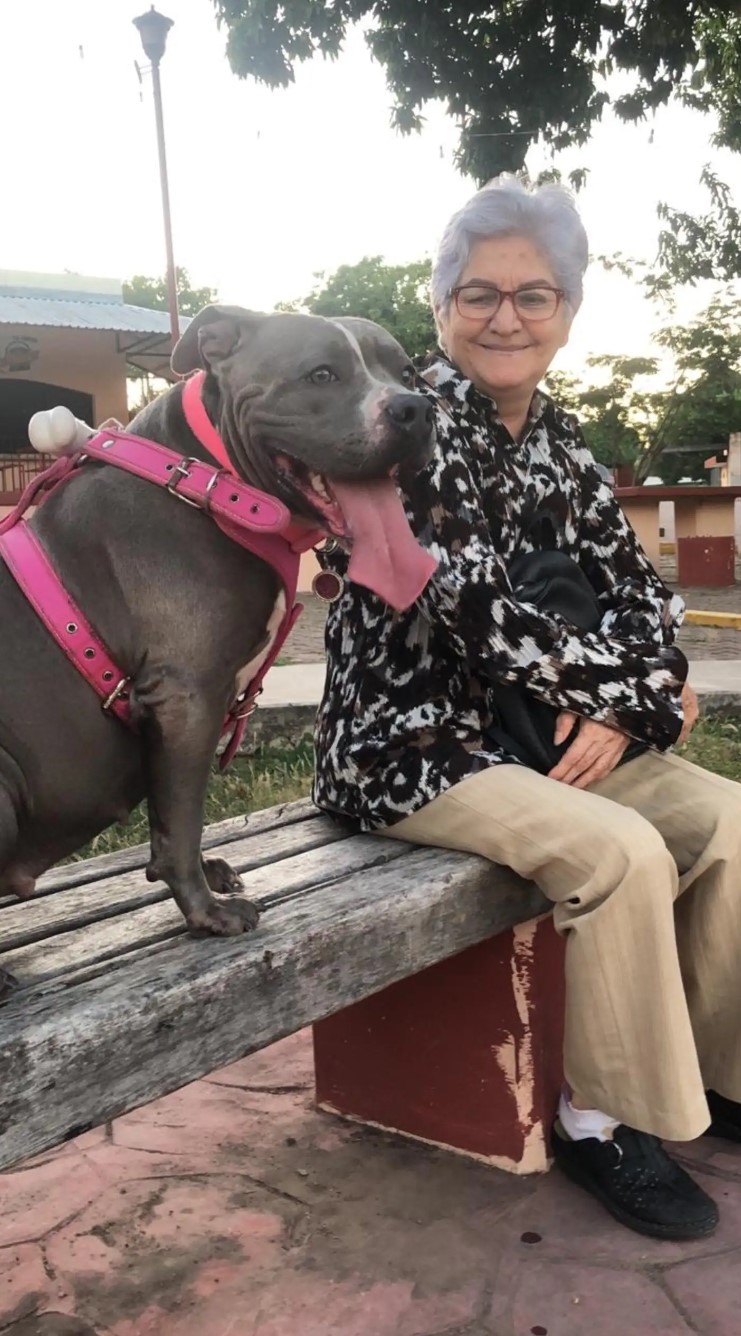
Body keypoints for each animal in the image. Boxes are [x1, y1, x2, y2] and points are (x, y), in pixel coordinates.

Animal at [0, 303, 435, 993]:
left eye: (408, 372)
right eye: (321, 374)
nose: (416, 409)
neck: (209, 478)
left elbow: (176, 811)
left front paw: (205, 877)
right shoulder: (187, 697)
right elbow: (181, 818)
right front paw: (205, 914)